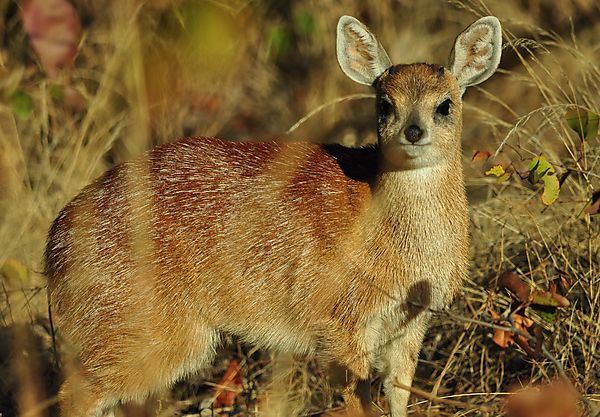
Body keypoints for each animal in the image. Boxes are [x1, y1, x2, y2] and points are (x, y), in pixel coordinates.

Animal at [44, 14, 500, 414]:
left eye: (445, 105)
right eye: (385, 104)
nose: (413, 132)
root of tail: (55, 243)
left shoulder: (409, 328)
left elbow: (400, 398)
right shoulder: (340, 327)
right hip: (155, 333)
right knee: (74, 393)